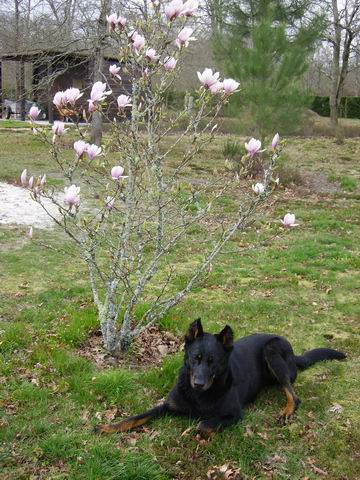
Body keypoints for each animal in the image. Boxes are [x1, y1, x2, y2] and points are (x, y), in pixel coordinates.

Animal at [94, 318, 344, 436]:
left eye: (214, 361)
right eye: (195, 358)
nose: (198, 383)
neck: (198, 397)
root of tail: (294, 354)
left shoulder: (233, 414)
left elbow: (203, 424)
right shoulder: (166, 405)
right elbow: (136, 417)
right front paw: (109, 427)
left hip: (272, 351)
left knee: (293, 394)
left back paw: (286, 411)